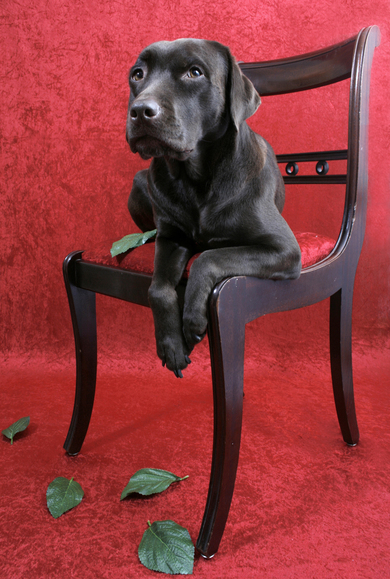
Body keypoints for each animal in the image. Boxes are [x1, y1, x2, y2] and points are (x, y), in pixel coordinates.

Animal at [125, 38, 302, 378]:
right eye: (137, 74)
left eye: (194, 72)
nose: (140, 110)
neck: (196, 179)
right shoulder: (172, 238)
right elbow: (158, 288)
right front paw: (171, 344)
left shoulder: (284, 249)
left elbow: (209, 257)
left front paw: (193, 317)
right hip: (140, 182)